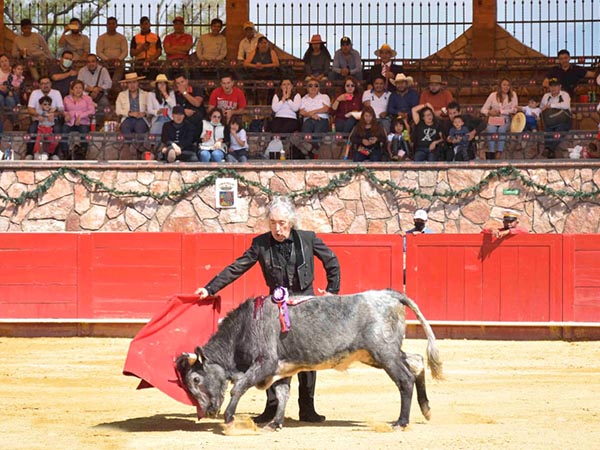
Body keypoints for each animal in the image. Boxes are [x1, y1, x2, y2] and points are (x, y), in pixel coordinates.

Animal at [176, 290, 442, 430]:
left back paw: (401, 421)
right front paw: (275, 423)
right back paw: (427, 409)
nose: (207, 412)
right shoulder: (280, 370)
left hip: (384, 353)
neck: (245, 327)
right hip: (379, 354)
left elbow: (239, 387)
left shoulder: (265, 363)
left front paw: (230, 418)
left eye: (196, 379)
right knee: (417, 361)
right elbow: (282, 393)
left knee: (405, 379)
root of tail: (390, 294)